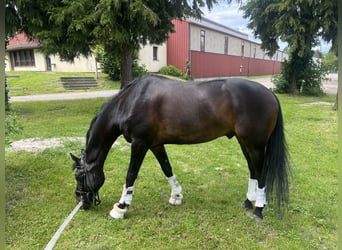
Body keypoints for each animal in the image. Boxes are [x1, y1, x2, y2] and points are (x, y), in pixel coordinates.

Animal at [71, 74, 290, 221]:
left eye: (79, 176)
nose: (81, 201)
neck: (131, 101)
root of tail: (270, 94)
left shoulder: (140, 144)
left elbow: (131, 175)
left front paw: (121, 207)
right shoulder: (156, 144)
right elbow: (167, 168)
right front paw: (176, 195)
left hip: (255, 145)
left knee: (261, 173)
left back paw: (259, 209)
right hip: (244, 142)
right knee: (253, 170)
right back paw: (248, 202)